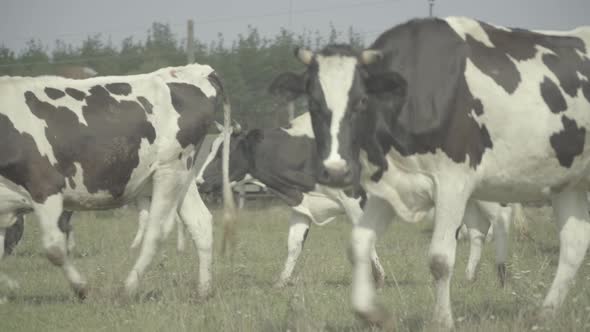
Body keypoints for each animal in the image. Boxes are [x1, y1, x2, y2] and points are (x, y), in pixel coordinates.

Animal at [0, 62, 236, 298]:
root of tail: (197, 69)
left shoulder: (45, 186)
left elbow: (54, 248)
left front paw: (81, 288)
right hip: (183, 175)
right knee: (200, 222)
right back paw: (203, 290)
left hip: (169, 170)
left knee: (157, 230)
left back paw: (129, 288)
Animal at [197, 112, 516, 288]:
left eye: (224, 151)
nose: (199, 182)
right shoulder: (303, 205)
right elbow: (293, 245)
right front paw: (281, 281)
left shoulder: (355, 200)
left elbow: (365, 238)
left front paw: (377, 279)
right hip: (467, 197)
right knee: (477, 232)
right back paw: (470, 276)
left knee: (500, 222)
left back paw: (502, 275)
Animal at [270, 16, 590, 330]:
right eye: (313, 103)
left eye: (361, 101)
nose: (335, 172)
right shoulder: (388, 186)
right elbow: (358, 245)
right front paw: (372, 313)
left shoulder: (453, 182)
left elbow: (440, 258)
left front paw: (441, 320)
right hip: (568, 183)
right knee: (574, 244)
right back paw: (545, 315)